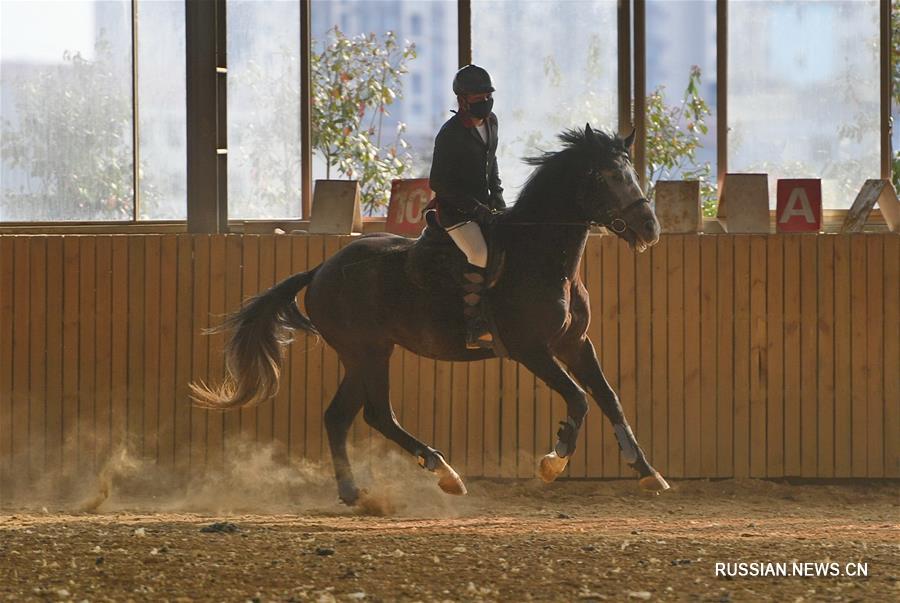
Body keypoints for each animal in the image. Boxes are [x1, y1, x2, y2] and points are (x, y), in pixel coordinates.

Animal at [190, 124, 668, 504]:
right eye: (607, 176)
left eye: (631, 173)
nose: (650, 228)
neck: (541, 255)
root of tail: (321, 269)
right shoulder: (531, 350)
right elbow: (579, 399)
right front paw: (554, 462)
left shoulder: (574, 344)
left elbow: (608, 398)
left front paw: (646, 471)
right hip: (367, 353)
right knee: (376, 415)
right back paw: (444, 474)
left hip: (363, 356)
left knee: (339, 416)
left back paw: (355, 492)